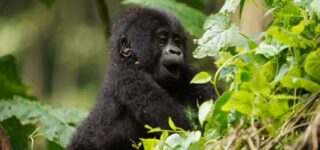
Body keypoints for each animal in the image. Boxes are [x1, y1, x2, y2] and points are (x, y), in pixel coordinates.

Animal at [69, 8, 216, 150]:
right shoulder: (132, 78)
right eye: (162, 40)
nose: (175, 51)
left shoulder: (190, 74)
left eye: (177, 41)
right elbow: (179, 130)